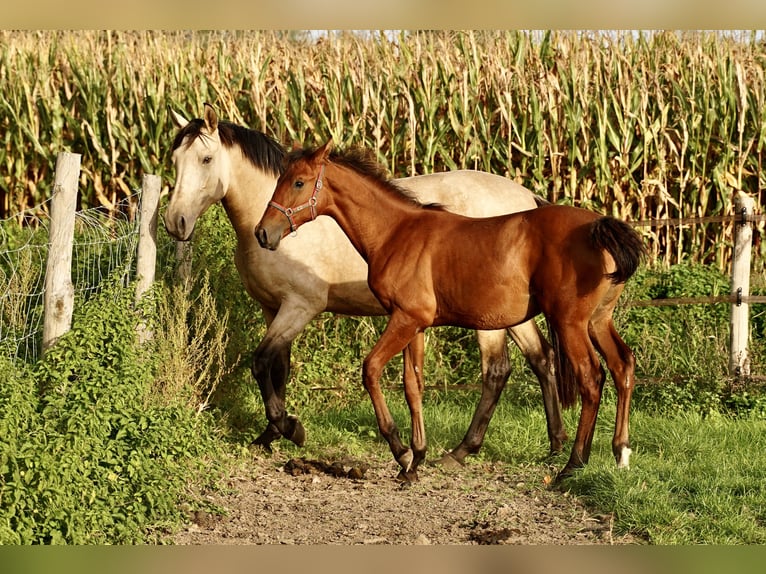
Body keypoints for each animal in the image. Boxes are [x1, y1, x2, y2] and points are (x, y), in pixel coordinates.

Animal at [164, 107, 568, 468]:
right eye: (175, 159)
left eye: (206, 158)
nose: (175, 222)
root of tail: (527, 199)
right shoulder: (272, 307)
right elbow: (279, 367)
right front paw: (271, 433)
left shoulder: (301, 307)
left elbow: (262, 361)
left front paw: (290, 428)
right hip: (512, 312)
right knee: (541, 357)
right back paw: (555, 445)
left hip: (490, 318)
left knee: (496, 370)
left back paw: (461, 452)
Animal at [258, 141, 648, 482]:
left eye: (298, 182)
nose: (264, 233)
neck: (397, 232)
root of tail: (598, 227)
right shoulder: (414, 323)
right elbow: (413, 384)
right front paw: (414, 460)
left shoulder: (405, 319)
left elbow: (371, 370)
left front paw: (400, 450)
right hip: (598, 321)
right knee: (622, 365)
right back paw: (621, 452)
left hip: (570, 323)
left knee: (591, 379)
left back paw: (573, 464)